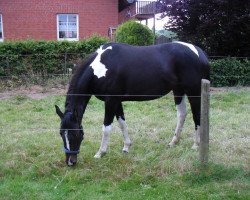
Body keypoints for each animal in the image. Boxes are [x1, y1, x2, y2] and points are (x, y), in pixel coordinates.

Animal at [54, 41, 209, 166]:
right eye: (61, 133)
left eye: (74, 134)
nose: (70, 162)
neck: (100, 68)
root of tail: (200, 53)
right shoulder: (116, 102)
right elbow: (122, 123)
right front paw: (126, 147)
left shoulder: (111, 101)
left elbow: (106, 128)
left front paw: (100, 152)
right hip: (178, 90)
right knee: (182, 114)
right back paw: (173, 142)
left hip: (194, 92)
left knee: (197, 115)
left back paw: (196, 145)